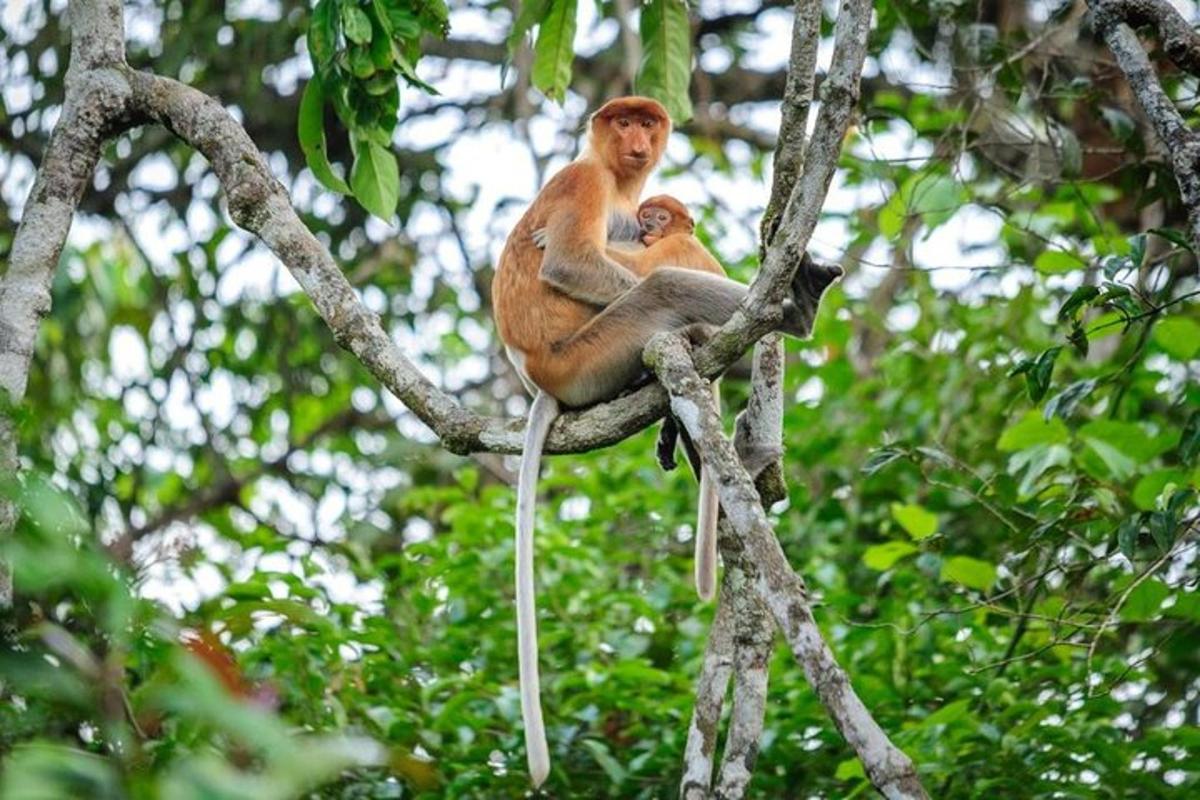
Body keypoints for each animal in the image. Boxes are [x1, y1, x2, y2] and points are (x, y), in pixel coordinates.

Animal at [492, 95, 840, 786]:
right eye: (623, 121)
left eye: (646, 122)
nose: (638, 140)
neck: (614, 178)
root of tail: (540, 376)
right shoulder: (583, 182)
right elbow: (568, 261)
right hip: (589, 354)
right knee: (661, 289)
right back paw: (793, 313)